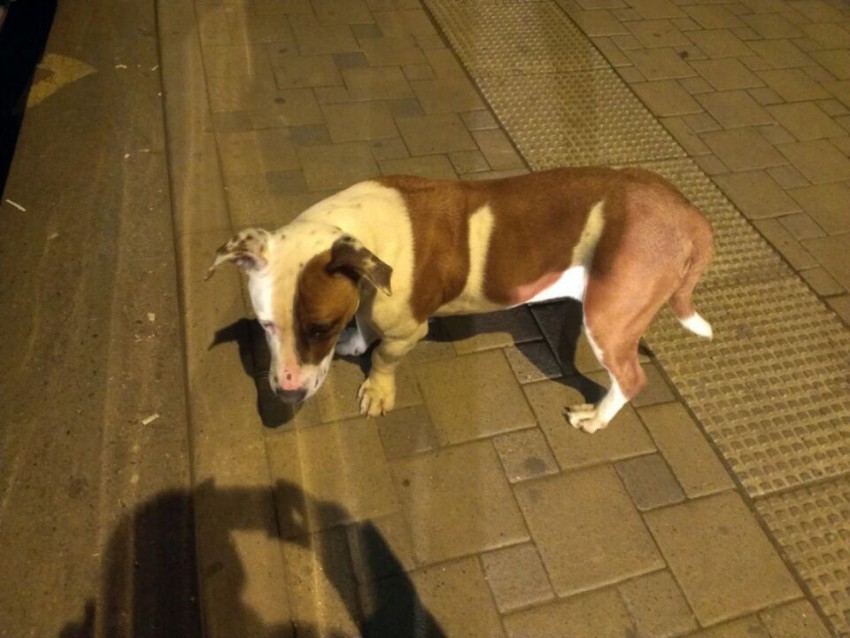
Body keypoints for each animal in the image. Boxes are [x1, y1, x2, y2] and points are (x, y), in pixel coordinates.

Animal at [206, 168, 713, 433]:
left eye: (320, 328)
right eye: (265, 325)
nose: (286, 393)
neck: (358, 234)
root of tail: (688, 214)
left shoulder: (409, 330)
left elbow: (385, 358)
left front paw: (377, 389)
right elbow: (367, 328)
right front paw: (358, 343)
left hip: (608, 318)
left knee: (630, 378)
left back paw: (595, 418)